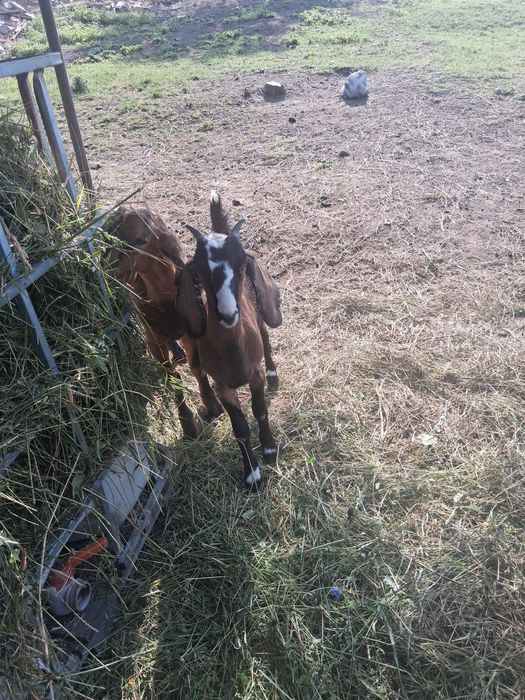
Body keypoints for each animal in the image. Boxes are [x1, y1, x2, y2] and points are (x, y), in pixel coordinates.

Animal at [108, 205, 223, 438]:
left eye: (141, 240)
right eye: (110, 232)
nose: (109, 267)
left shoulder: (191, 331)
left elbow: (197, 368)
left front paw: (212, 405)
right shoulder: (152, 339)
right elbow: (171, 375)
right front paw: (187, 424)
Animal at [177, 192, 282, 489]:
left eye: (242, 262)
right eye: (199, 271)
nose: (227, 314)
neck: (234, 354)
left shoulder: (255, 373)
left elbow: (260, 410)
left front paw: (269, 449)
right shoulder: (222, 385)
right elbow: (240, 428)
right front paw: (252, 474)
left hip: (259, 311)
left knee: (266, 335)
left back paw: (274, 373)